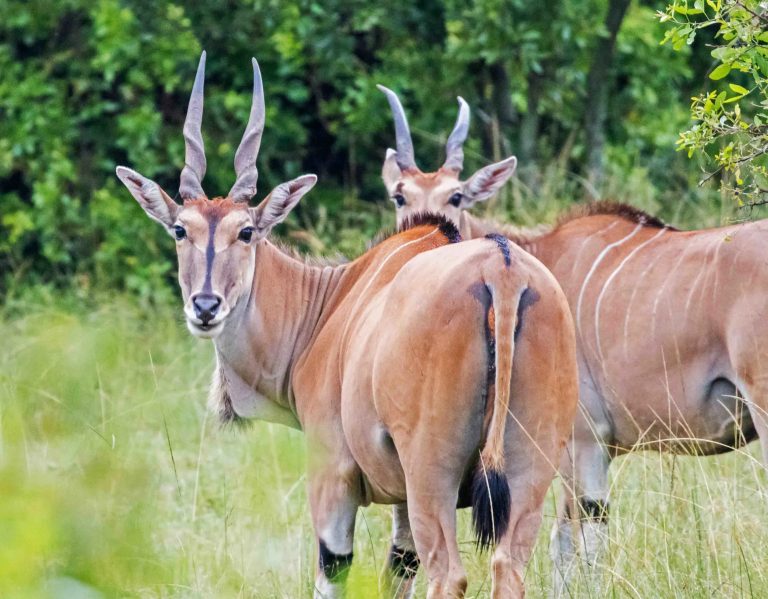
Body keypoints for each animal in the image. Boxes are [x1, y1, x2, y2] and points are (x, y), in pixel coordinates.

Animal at [117, 54, 580, 596]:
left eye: (246, 231)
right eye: (179, 229)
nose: (205, 306)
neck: (326, 302)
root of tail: (502, 269)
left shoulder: (332, 475)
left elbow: (332, 570)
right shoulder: (400, 503)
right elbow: (398, 569)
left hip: (432, 477)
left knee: (449, 574)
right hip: (528, 472)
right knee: (508, 567)